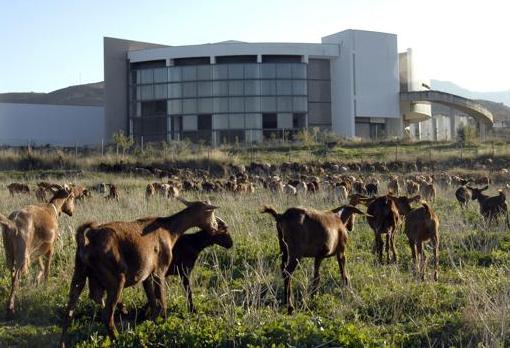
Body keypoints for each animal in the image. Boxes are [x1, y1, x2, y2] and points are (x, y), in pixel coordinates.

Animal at [0, 188, 75, 316]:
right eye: (72, 197)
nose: (72, 212)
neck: (52, 209)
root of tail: (13, 222)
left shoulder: (36, 249)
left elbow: (40, 266)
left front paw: (37, 280)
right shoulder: (50, 247)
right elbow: (47, 269)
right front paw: (45, 286)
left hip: (9, 252)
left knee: (12, 274)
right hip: (22, 253)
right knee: (16, 276)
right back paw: (11, 307)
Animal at [59, 197, 221, 344]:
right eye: (211, 212)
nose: (215, 227)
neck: (170, 230)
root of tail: (86, 242)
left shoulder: (147, 275)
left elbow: (154, 302)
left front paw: (153, 323)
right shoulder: (159, 271)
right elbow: (162, 300)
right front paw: (165, 323)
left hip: (79, 274)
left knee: (69, 311)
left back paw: (63, 343)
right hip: (116, 279)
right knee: (107, 314)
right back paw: (117, 338)